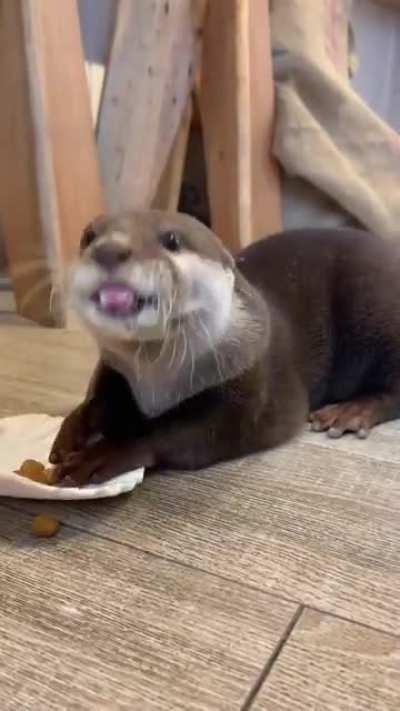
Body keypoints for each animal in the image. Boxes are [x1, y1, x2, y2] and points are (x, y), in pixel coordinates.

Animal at [50, 211, 400, 485]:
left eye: (171, 239)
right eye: (88, 237)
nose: (108, 250)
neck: (156, 384)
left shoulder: (247, 389)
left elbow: (186, 433)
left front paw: (106, 451)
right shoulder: (114, 371)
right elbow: (97, 398)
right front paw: (70, 432)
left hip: (378, 310)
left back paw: (351, 412)